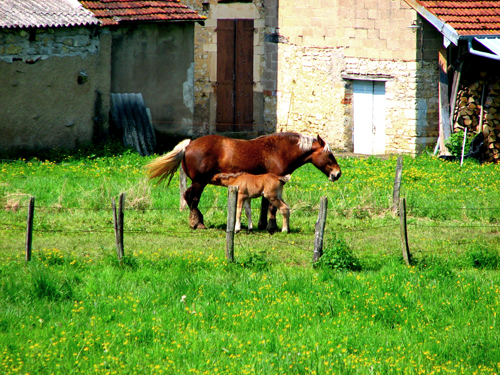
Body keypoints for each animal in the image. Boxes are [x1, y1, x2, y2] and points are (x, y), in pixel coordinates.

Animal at [145, 132, 340, 232]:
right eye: (330, 155)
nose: (338, 174)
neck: (279, 150)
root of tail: (189, 144)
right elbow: (271, 207)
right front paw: (272, 226)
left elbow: (264, 205)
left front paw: (262, 225)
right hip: (200, 182)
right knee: (192, 198)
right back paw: (197, 223)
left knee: (189, 197)